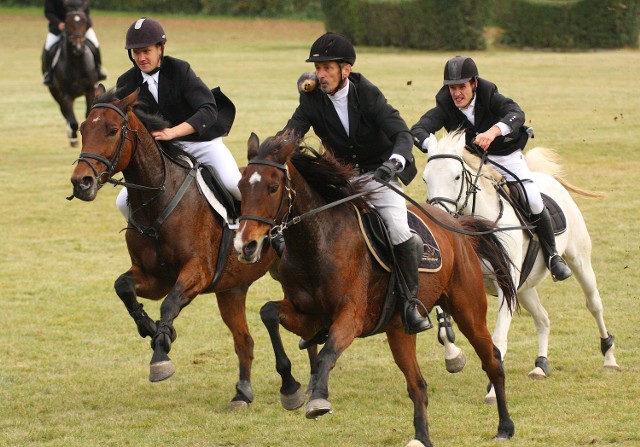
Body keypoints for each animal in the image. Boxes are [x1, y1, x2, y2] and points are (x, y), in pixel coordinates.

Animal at [47, 0, 97, 147]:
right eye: (67, 22)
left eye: (84, 20)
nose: (78, 47)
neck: (76, 63)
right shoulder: (66, 95)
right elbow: (73, 122)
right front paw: (73, 137)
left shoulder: (90, 90)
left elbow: (89, 114)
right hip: (55, 92)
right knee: (65, 112)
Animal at [68, 87, 278, 410]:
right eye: (82, 129)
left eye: (113, 130)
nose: (81, 182)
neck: (158, 201)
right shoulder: (154, 278)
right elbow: (123, 287)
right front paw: (151, 329)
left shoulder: (198, 272)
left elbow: (169, 304)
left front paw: (160, 356)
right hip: (232, 289)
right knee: (244, 341)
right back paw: (242, 395)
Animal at [235, 134, 520, 447]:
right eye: (240, 185)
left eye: (273, 187)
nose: (245, 246)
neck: (316, 242)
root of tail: (457, 227)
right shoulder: (310, 318)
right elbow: (269, 313)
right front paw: (290, 389)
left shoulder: (352, 317)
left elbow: (327, 353)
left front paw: (318, 400)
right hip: (399, 330)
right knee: (418, 385)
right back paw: (422, 437)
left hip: (468, 310)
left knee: (492, 361)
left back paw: (505, 427)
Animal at [422, 130, 616, 406]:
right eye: (425, 178)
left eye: (456, 177)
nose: (437, 220)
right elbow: (444, 324)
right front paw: (453, 356)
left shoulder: (505, 285)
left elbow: (498, 337)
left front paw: (493, 391)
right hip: (524, 288)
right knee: (543, 319)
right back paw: (540, 365)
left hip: (579, 262)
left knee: (594, 304)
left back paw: (609, 356)